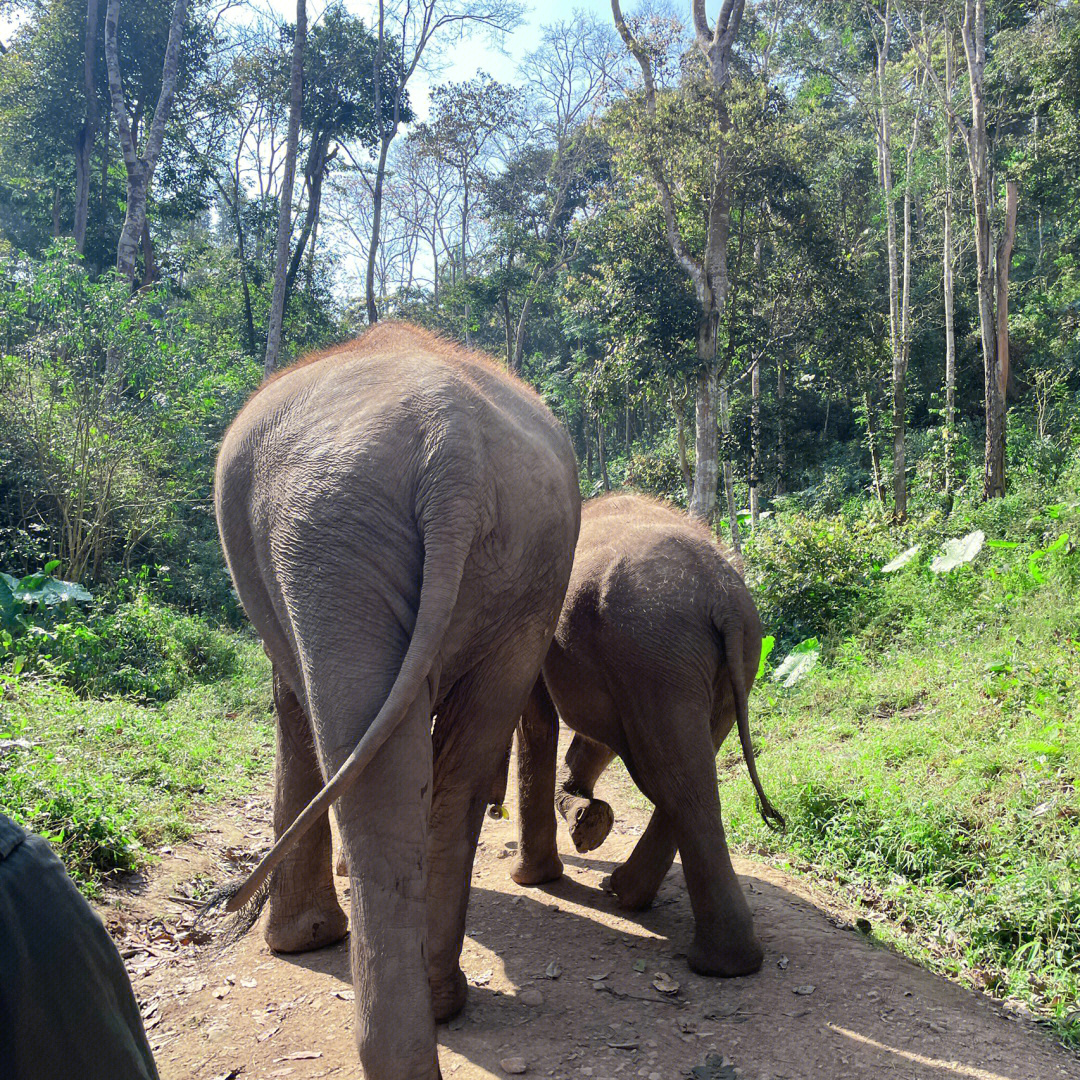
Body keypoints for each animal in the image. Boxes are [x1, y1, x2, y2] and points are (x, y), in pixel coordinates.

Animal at [212, 324, 583, 1080]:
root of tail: (454, 446)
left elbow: (291, 704)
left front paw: (300, 943)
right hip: (526, 563)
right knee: (450, 772)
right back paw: (442, 1004)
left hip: (330, 542)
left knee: (364, 769)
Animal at [501, 494, 781, 980]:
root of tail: (723, 597)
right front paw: (586, 820)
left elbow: (536, 719)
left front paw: (535, 876)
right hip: (718, 665)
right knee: (686, 776)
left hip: (655, 657)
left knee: (671, 778)